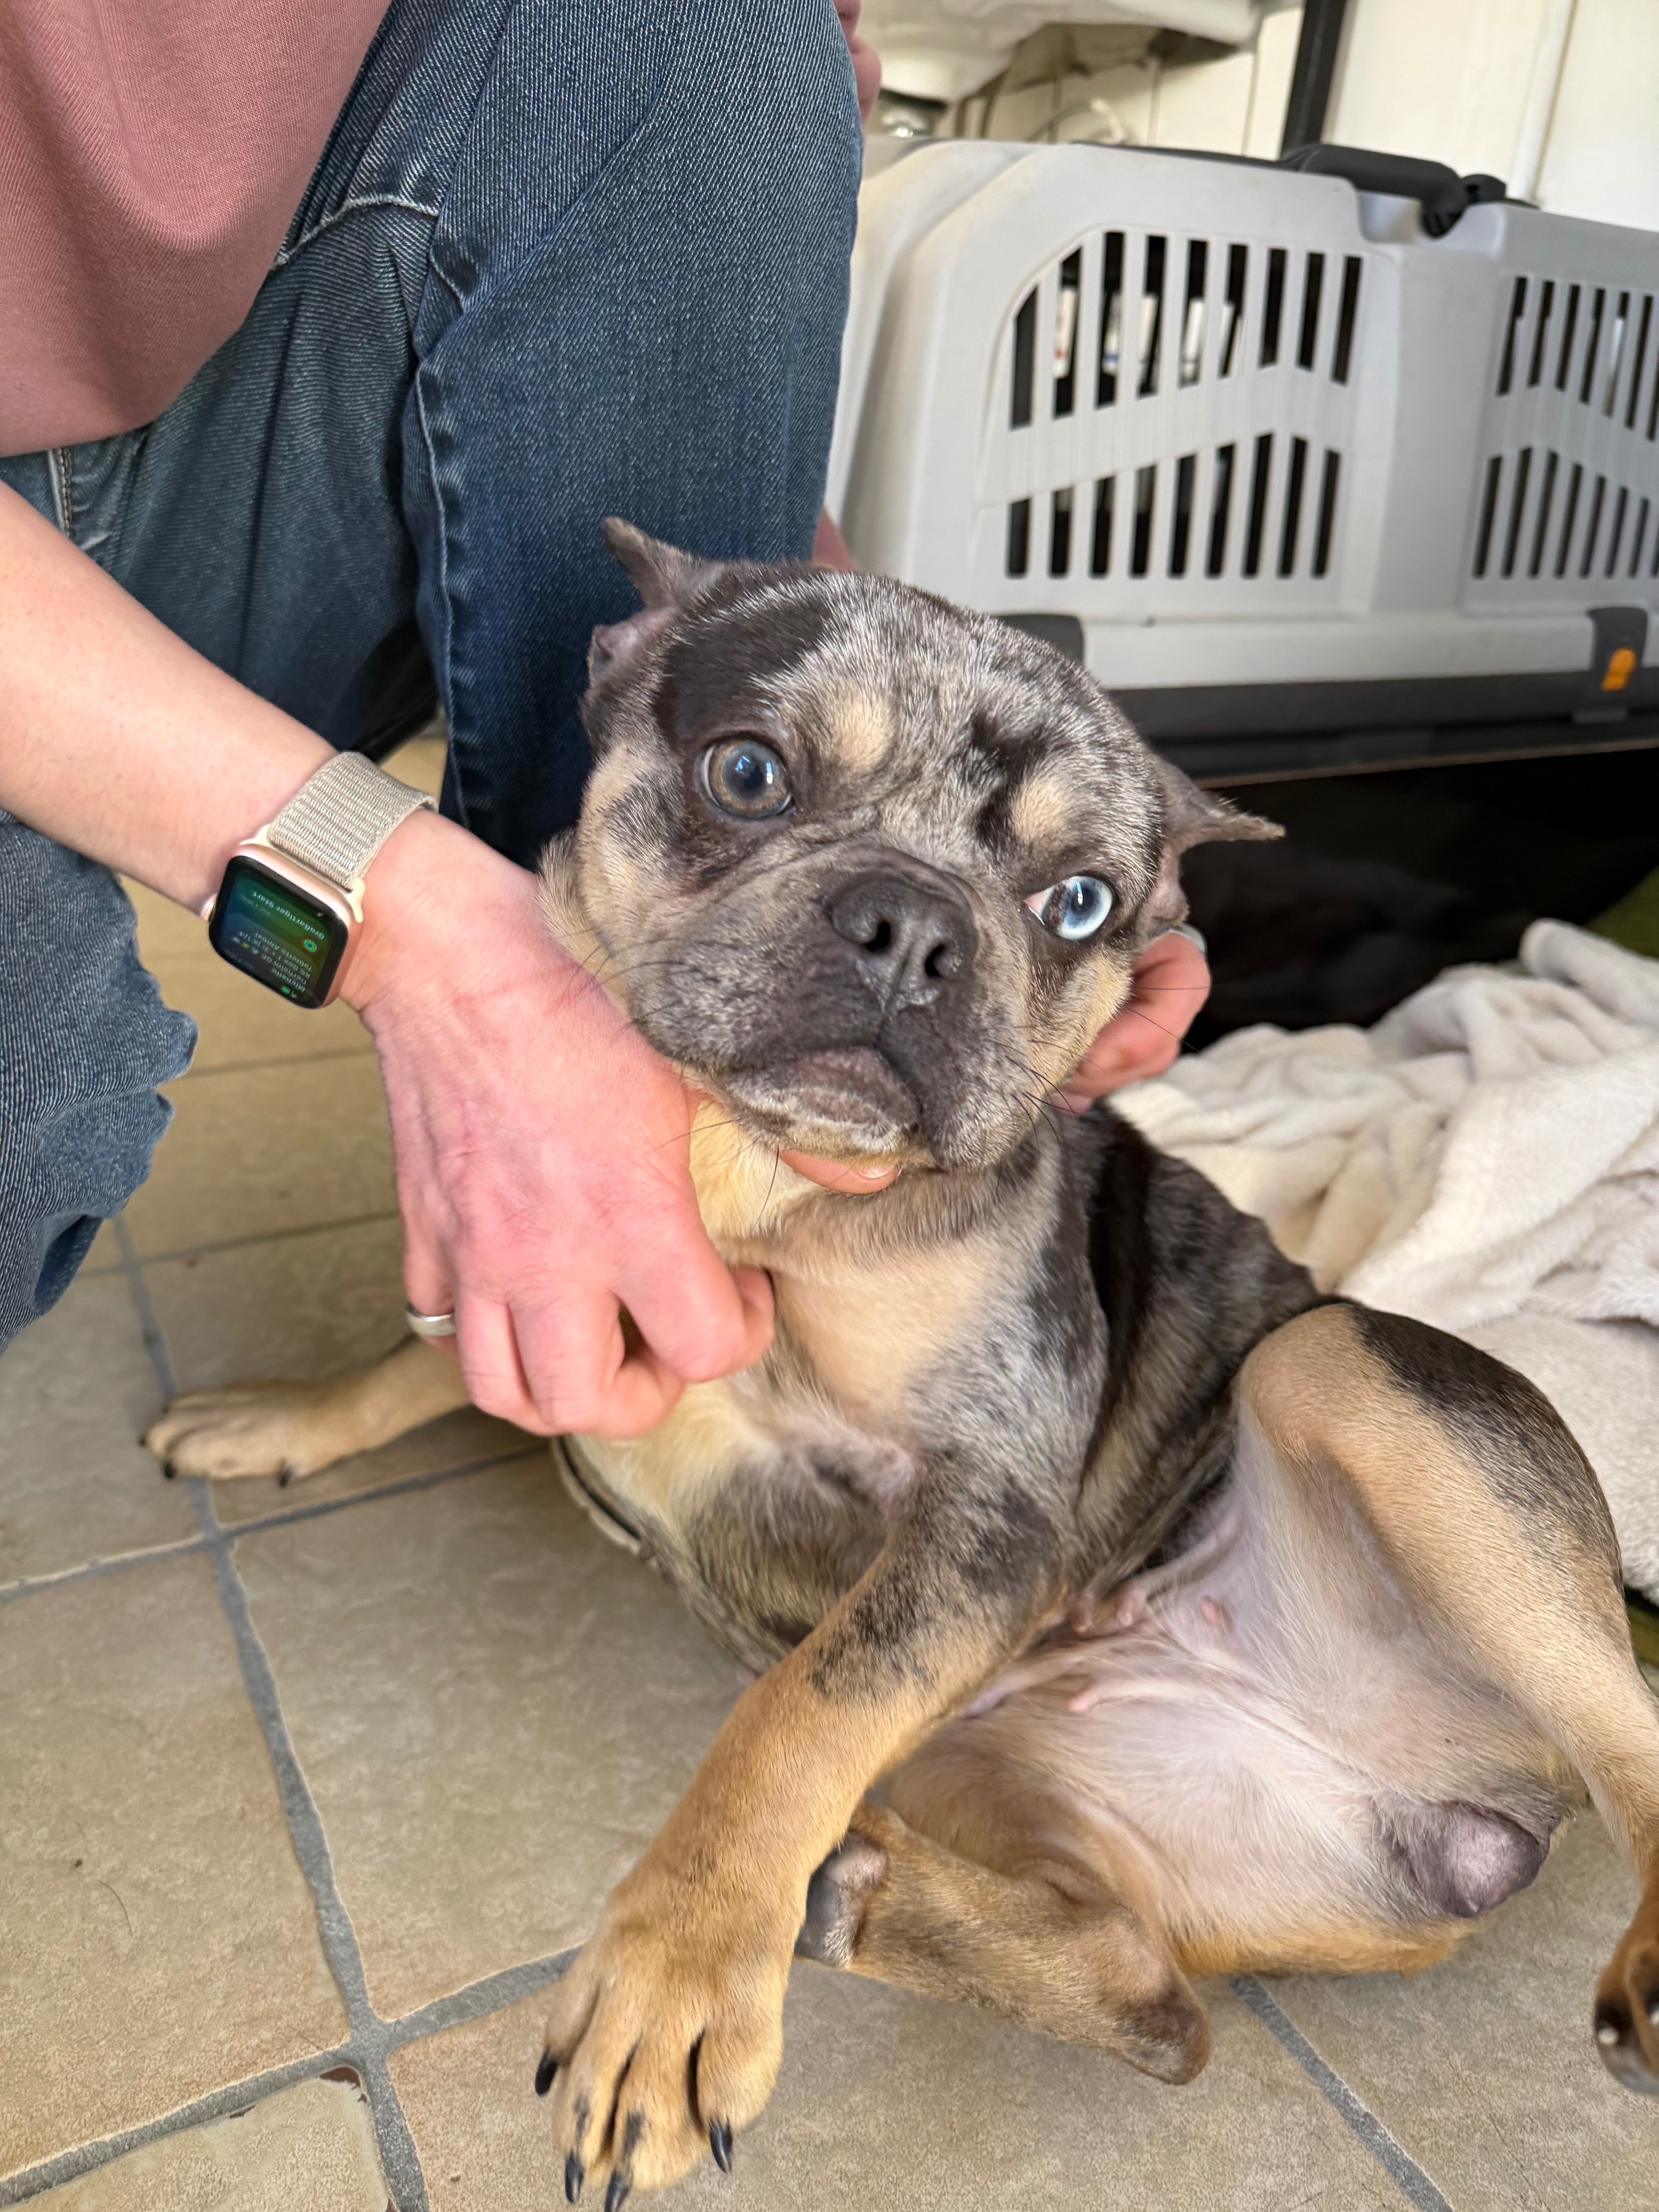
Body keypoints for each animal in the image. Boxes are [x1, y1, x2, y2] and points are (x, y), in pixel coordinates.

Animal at [147, 522, 1659, 2204]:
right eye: (749, 775)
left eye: (1083, 903)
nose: (915, 928)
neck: (743, 1170)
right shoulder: (553, 1272)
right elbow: (421, 1368)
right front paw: (284, 1416)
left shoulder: (978, 1512)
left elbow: (794, 1711)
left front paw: (678, 1973)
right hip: (1036, 1787)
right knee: (1159, 2009)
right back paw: (859, 1897)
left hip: (1340, 1377)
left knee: (1632, 1744)